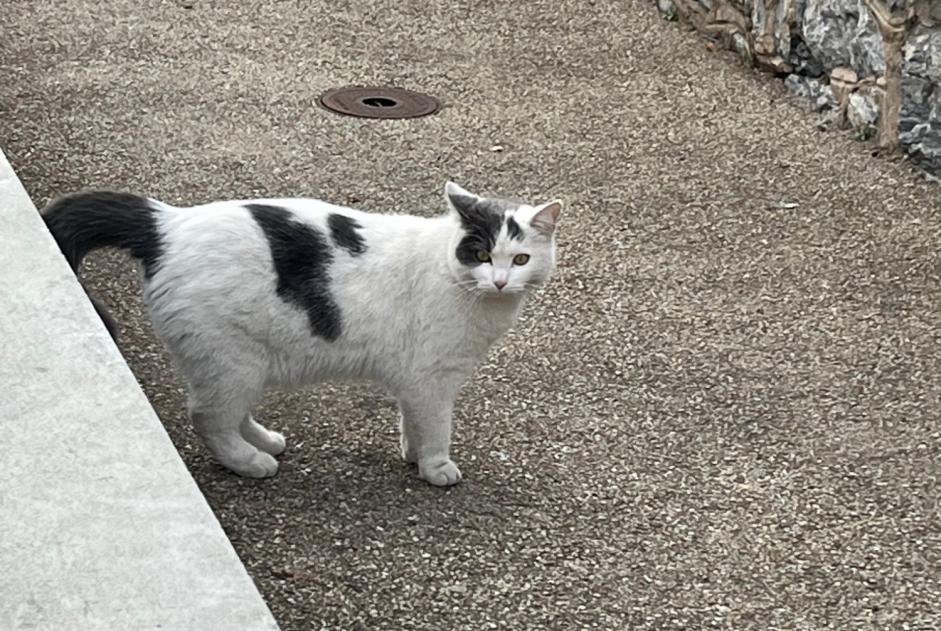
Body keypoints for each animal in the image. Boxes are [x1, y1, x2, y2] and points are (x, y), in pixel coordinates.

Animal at [42, 180, 560, 486]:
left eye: (520, 259)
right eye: (481, 254)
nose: (500, 280)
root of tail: (166, 223)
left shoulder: (415, 383)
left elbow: (412, 423)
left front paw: (412, 456)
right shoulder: (432, 380)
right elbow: (436, 429)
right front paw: (435, 468)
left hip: (239, 363)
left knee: (228, 412)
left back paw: (265, 442)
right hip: (231, 359)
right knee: (207, 417)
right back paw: (251, 463)